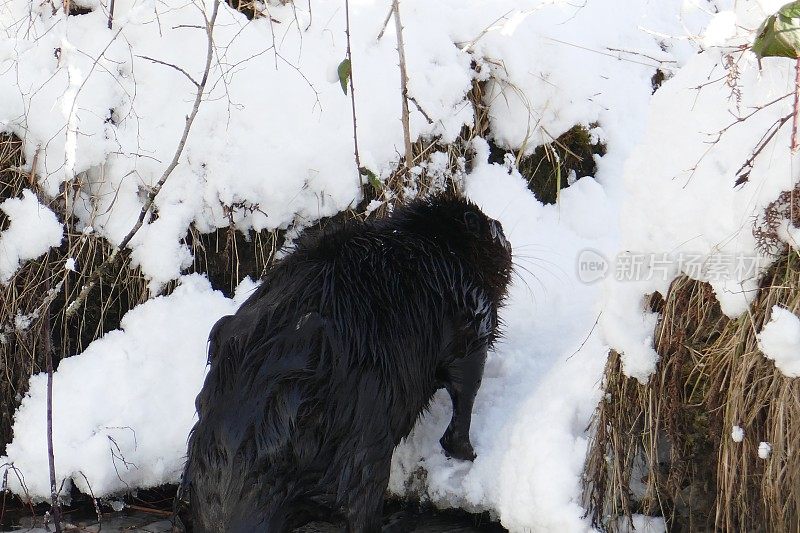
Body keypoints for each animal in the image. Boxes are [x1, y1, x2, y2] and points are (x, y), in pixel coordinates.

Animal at [180, 193, 512, 528]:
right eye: (493, 229)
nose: (505, 235)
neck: (433, 243)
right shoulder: (470, 310)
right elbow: (465, 385)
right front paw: (469, 454)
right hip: (363, 443)